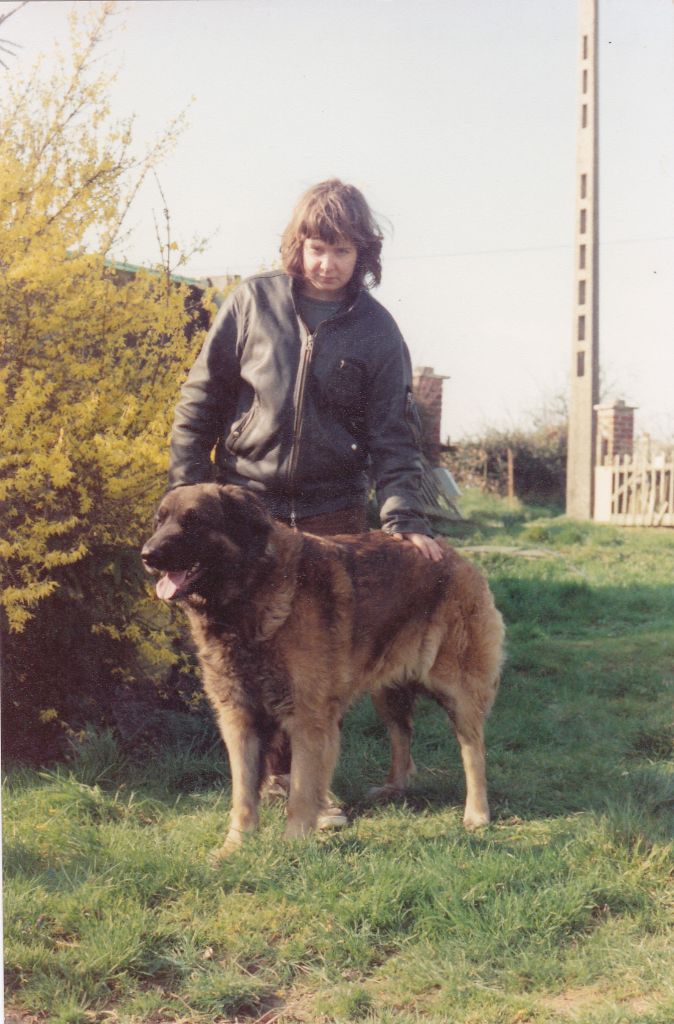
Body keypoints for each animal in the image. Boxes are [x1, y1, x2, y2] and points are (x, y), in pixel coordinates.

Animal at [141, 483, 504, 856]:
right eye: (160, 521)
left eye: (194, 522)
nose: (147, 555)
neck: (250, 593)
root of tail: (452, 553)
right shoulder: (239, 718)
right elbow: (242, 794)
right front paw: (235, 847)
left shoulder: (308, 718)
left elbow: (302, 791)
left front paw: (292, 845)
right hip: (387, 692)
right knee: (402, 733)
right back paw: (394, 787)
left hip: (458, 689)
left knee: (473, 749)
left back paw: (477, 813)